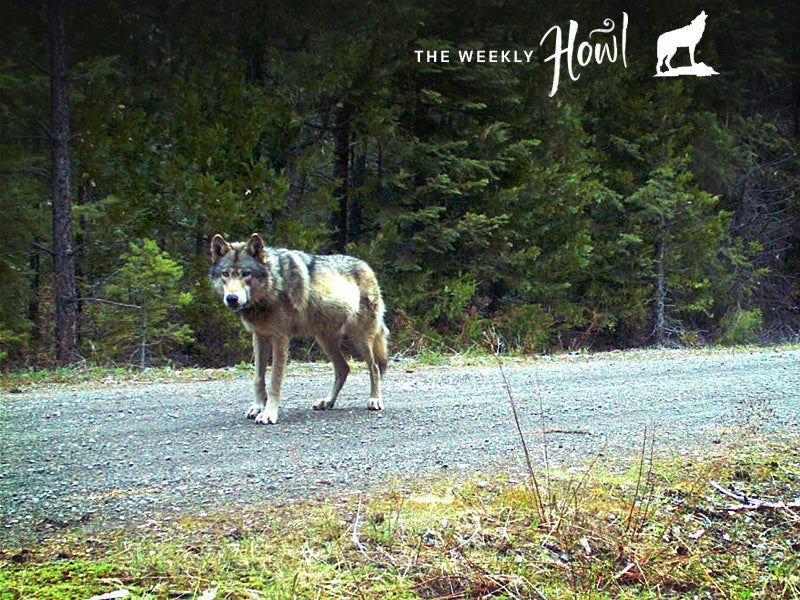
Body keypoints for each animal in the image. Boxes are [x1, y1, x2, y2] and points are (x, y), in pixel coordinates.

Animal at [211, 232, 390, 424]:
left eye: (246, 274)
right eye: (225, 274)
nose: (232, 298)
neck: (273, 285)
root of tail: (367, 266)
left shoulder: (280, 338)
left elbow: (274, 381)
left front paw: (268, 414)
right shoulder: (259, 336)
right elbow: (258, 378)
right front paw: (258, 407)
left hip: (360, 338)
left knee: (375, 367)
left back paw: (375, 400)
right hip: (324, 339)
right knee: (344, 368)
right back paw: (327, 402)